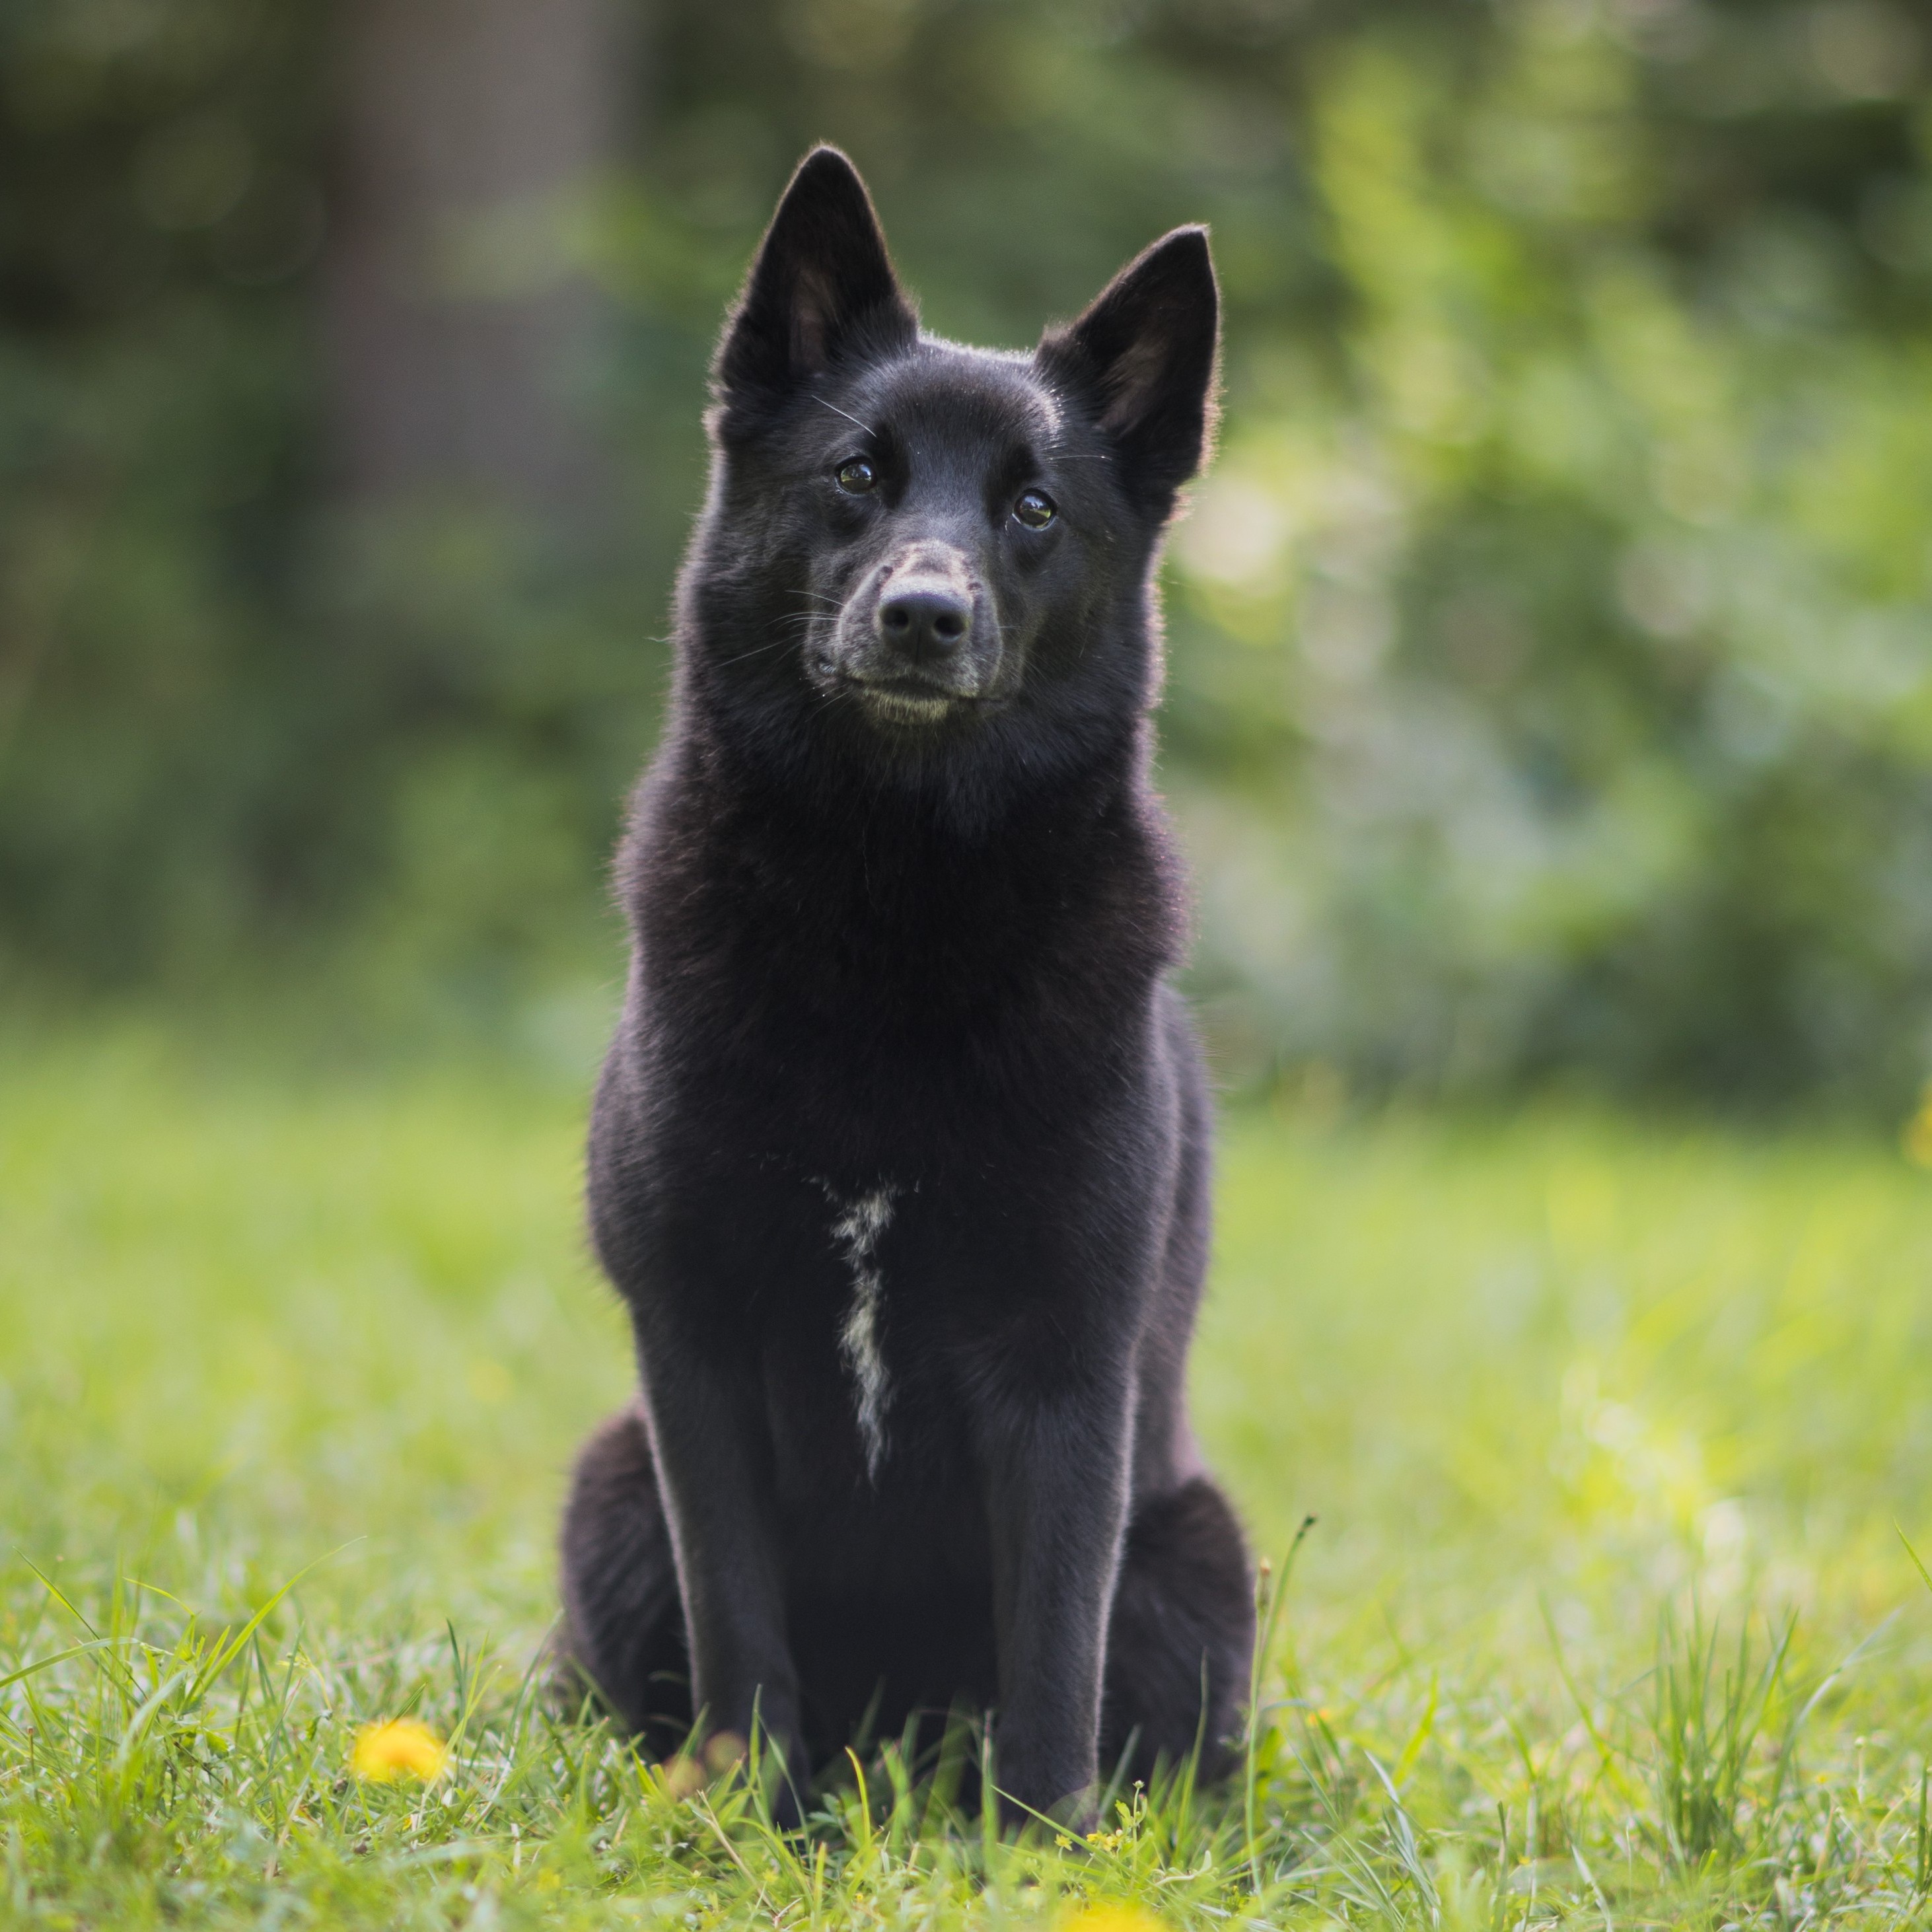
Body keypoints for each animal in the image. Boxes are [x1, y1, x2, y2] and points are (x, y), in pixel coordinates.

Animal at [560, 151, 1252, 1824]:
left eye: (1032, 506)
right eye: (855, 475)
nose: (923, 616)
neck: (892, 917)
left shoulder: (1064, 1376)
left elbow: (1052, 1649)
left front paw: (1041, 1843)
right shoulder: (692, 1352)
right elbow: (739, 1620)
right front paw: (741, 1816)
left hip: (1198, 1560)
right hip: (608, 1488)